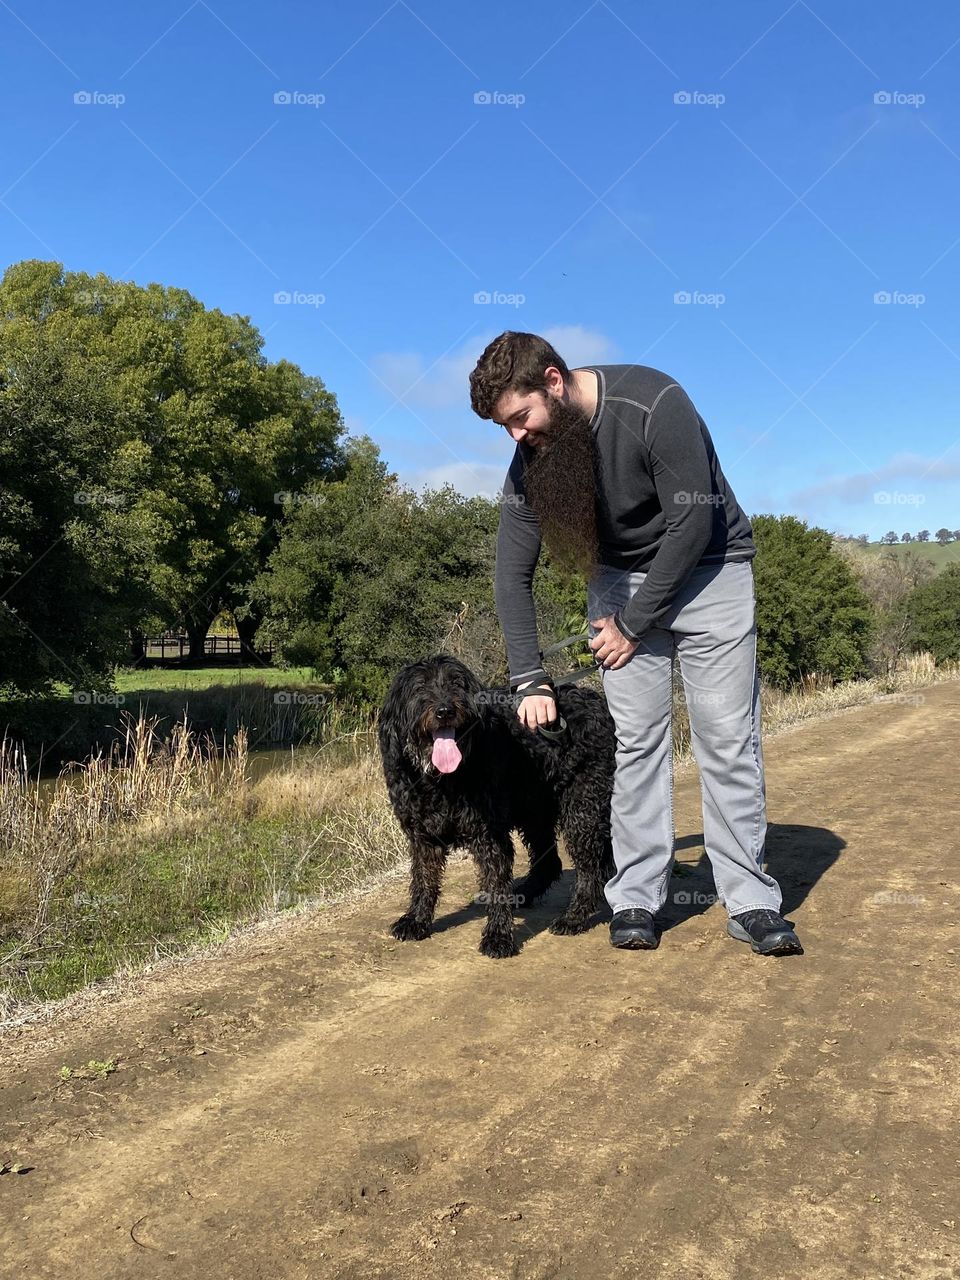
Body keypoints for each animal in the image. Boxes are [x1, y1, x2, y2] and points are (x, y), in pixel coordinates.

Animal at [378, 655, 616, 957]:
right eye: (420, 687)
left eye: (457, 683)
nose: (444, 711)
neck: (440, 779)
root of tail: (597, 702)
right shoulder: (423, 836)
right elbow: (423, 878)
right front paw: (417, 919)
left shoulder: (488, 834)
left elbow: (496, 883)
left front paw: (498, 936)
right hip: (535, 810)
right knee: (552, 861)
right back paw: (526, 894)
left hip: (582, 806)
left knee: (589, 867)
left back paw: (574, 917)